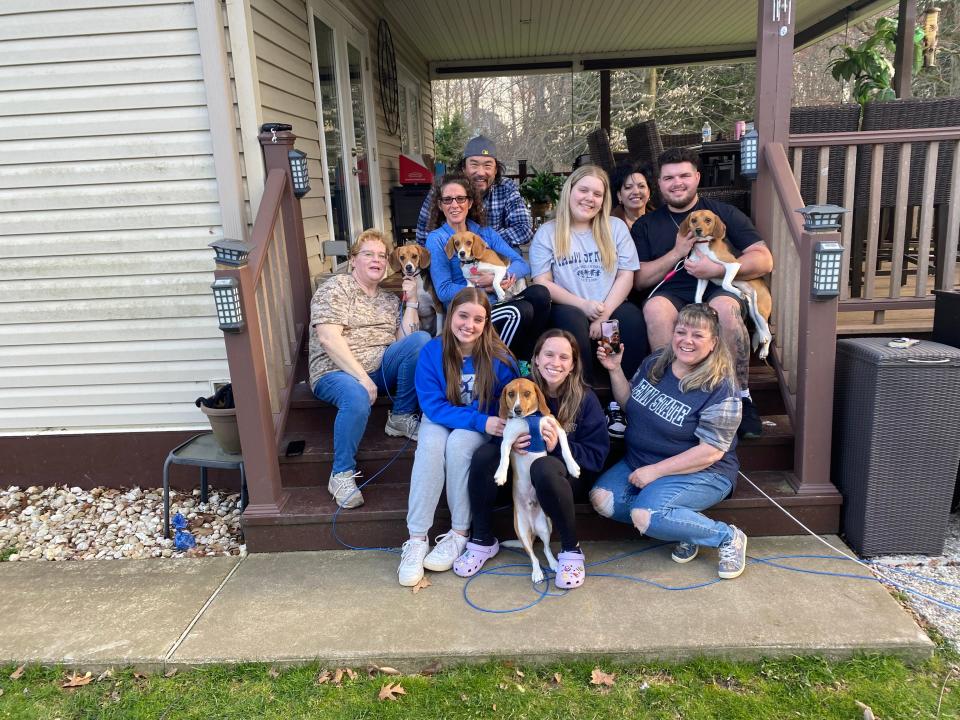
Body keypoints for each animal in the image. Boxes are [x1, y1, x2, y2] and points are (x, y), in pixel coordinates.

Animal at [492, 380, 580, 584]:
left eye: (526, 393)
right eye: (510, 394)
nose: (516, 410)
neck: (529, 419)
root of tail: (532, 529)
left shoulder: (556, 428)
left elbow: (565, 448)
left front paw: (572, 466)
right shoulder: (508, 439)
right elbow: (504, 456)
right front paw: (501, 474)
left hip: (546, 526)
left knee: (546, 549)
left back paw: (555, 564)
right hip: (522, 531)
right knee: (533, 556)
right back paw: (537, 572)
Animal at [680, 212, 776, 360]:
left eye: (708, 220)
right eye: (694, 220)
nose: (698, 230)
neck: (703, 246)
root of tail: (766, 287)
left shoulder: (732, 265)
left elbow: (725, 283)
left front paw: (737, 292)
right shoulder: (702, 276)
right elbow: (698, 295)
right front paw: (699, 305)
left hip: (760, 310)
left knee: (769, 334)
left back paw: (764, 350)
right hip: (753, 311)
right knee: (762, 331)